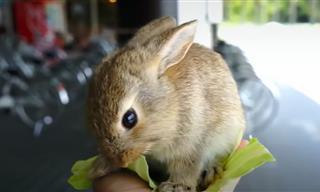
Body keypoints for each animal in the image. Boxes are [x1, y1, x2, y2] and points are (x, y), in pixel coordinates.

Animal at [87, 16, 245, 192]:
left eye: (129, 118)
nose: (120, 160)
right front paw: (99, 167)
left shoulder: (192, 145)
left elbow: (187, 168)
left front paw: (176, 186)